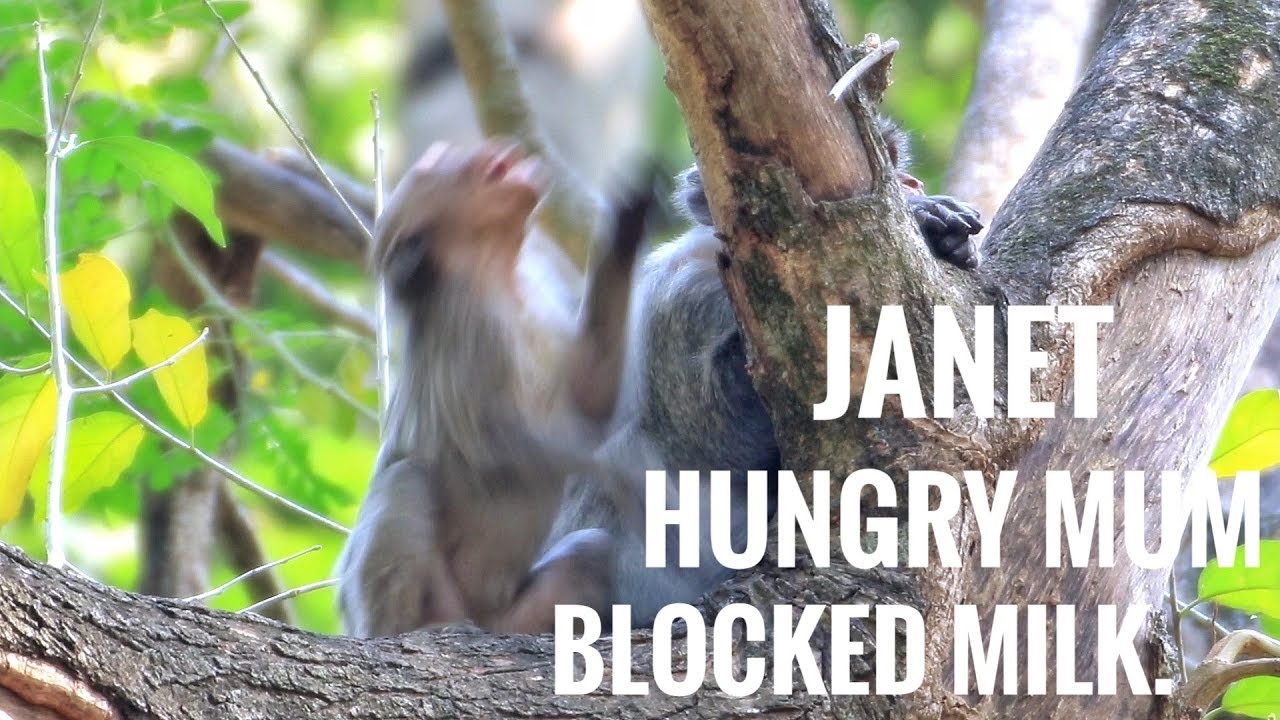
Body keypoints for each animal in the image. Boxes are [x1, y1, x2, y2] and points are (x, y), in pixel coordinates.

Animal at [335, 141, 648, 637]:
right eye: (437, 166)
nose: (493, 150)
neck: (498, 272)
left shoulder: (537, 287)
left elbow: (591, 396)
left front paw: (626, 222)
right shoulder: (467, 317)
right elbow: (491, 444)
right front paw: (620, 471)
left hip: (509, 617)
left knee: (591, 555)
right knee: (406, 479)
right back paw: (398, 631)